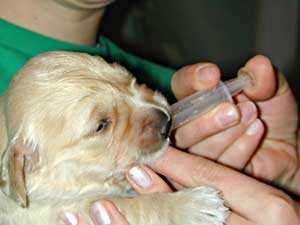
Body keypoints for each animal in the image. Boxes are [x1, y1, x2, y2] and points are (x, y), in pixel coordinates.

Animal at [0, 51, 226, 224]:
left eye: (128, 78)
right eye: (101, 125)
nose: (167, 121)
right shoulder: (62, 211)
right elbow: (129, 205)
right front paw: (194, 206)